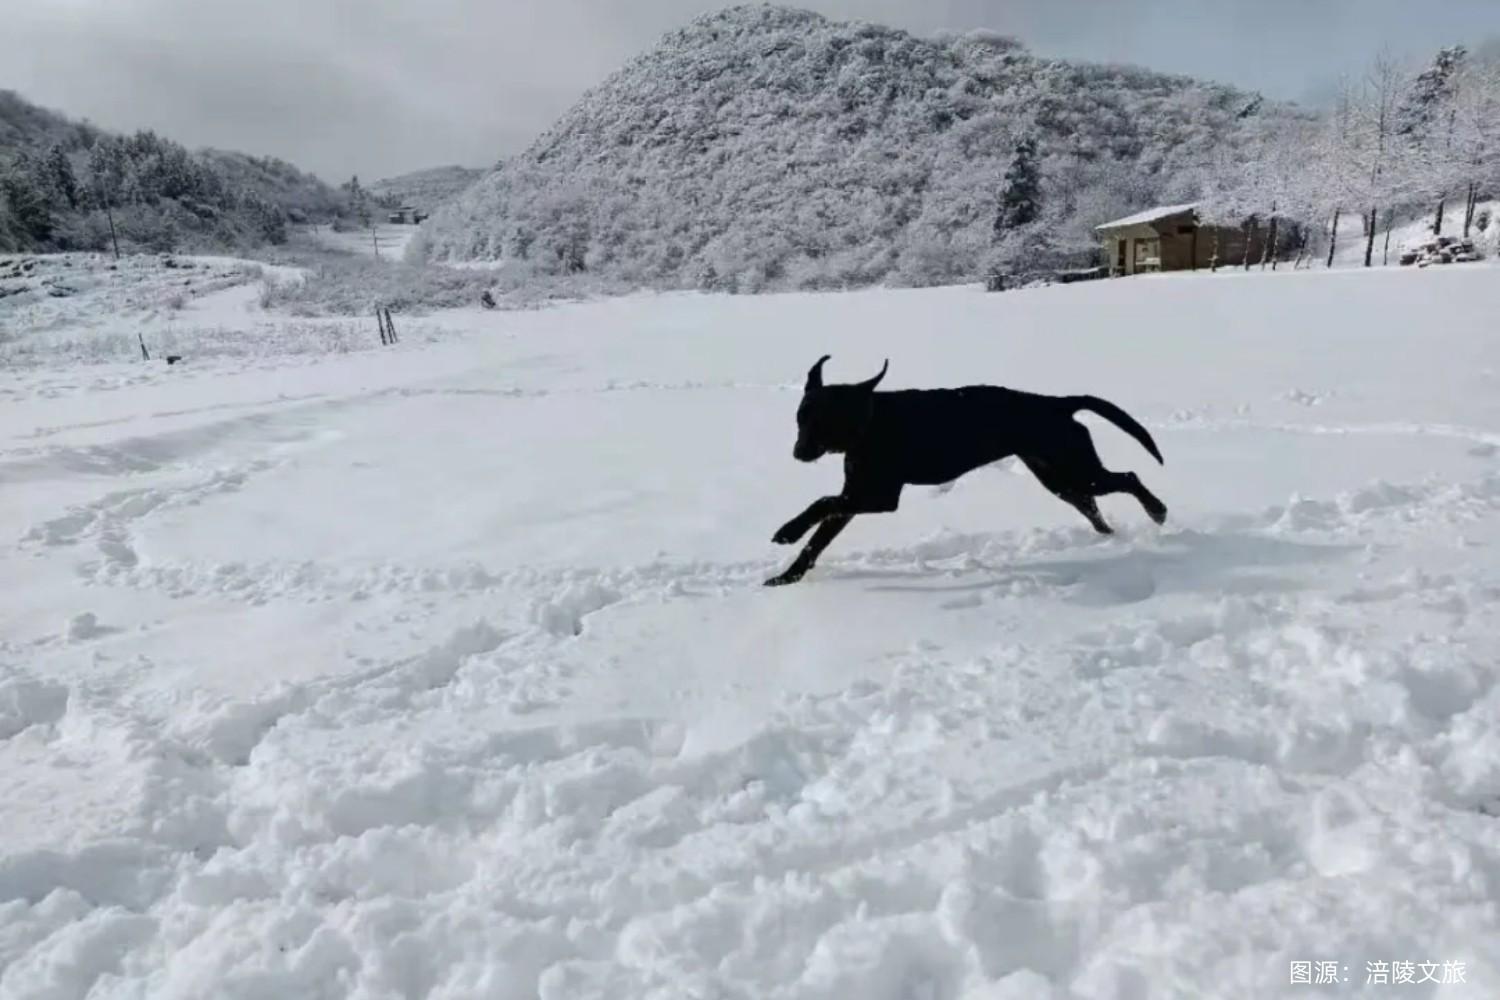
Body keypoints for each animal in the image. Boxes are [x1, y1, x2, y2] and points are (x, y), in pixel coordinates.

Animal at [762, 355, 1170, 587]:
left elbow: (821, 502)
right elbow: (817, 539)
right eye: (801, 417)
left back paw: (1157, 511)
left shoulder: (877, 496)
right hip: (1059, 477)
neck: (869, 424)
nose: (798, 453)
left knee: (1129, 478)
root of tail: (1058, 404)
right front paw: (787, 576)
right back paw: (1110, 535)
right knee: (1091, 503)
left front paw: (787, 531)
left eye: (826, 420)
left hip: (1076, 467)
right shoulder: (853, 498)